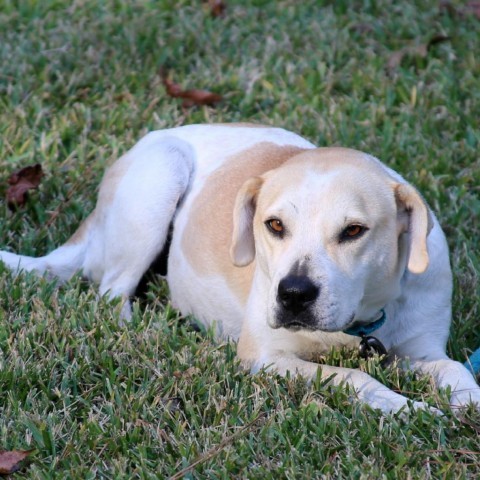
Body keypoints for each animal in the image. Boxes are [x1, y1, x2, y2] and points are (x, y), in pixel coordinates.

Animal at [0, 124, 480, 412]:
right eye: (274, 225)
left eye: (354, 230)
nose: (293, 294)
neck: (362, 320)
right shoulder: (267, 356)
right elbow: (355, 377)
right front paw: (410, 408)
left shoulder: (422, 352)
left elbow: (456, 370)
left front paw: (467, 402)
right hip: (161, 174)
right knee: (111, 291)